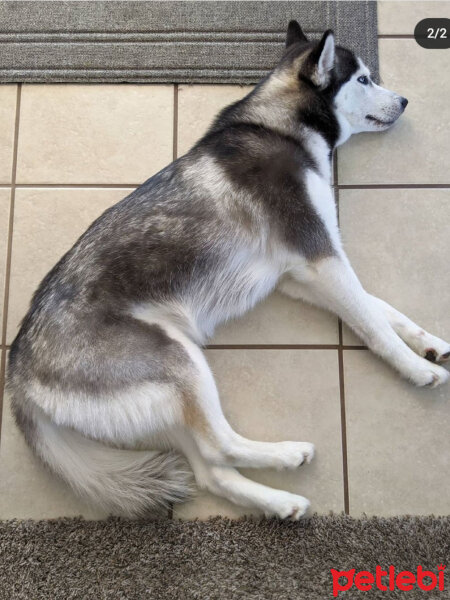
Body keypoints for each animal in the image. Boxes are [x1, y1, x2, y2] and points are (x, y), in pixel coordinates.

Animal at [7, 22, 450, 520]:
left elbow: (380, 309)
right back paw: (287, 455)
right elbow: (374, 324)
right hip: (178, 360)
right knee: (220, 446)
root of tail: (17, 372)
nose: (405, 101)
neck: (280, 126)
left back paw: (280, 502)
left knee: (210, 470)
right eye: (364, 79)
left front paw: (429, 343)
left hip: (165, 399)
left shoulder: (298, 276)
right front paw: (416, 368)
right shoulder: (322, 256)